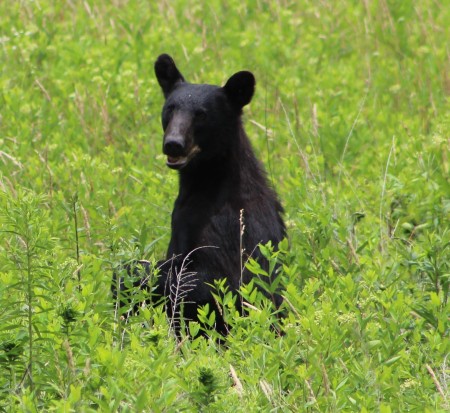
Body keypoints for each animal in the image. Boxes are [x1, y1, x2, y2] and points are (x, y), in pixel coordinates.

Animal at [115, 54, 284, 334]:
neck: (207, 183)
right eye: (170, 108)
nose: (173, 143)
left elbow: (206, 283)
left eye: (202, 114)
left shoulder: (223, 229)